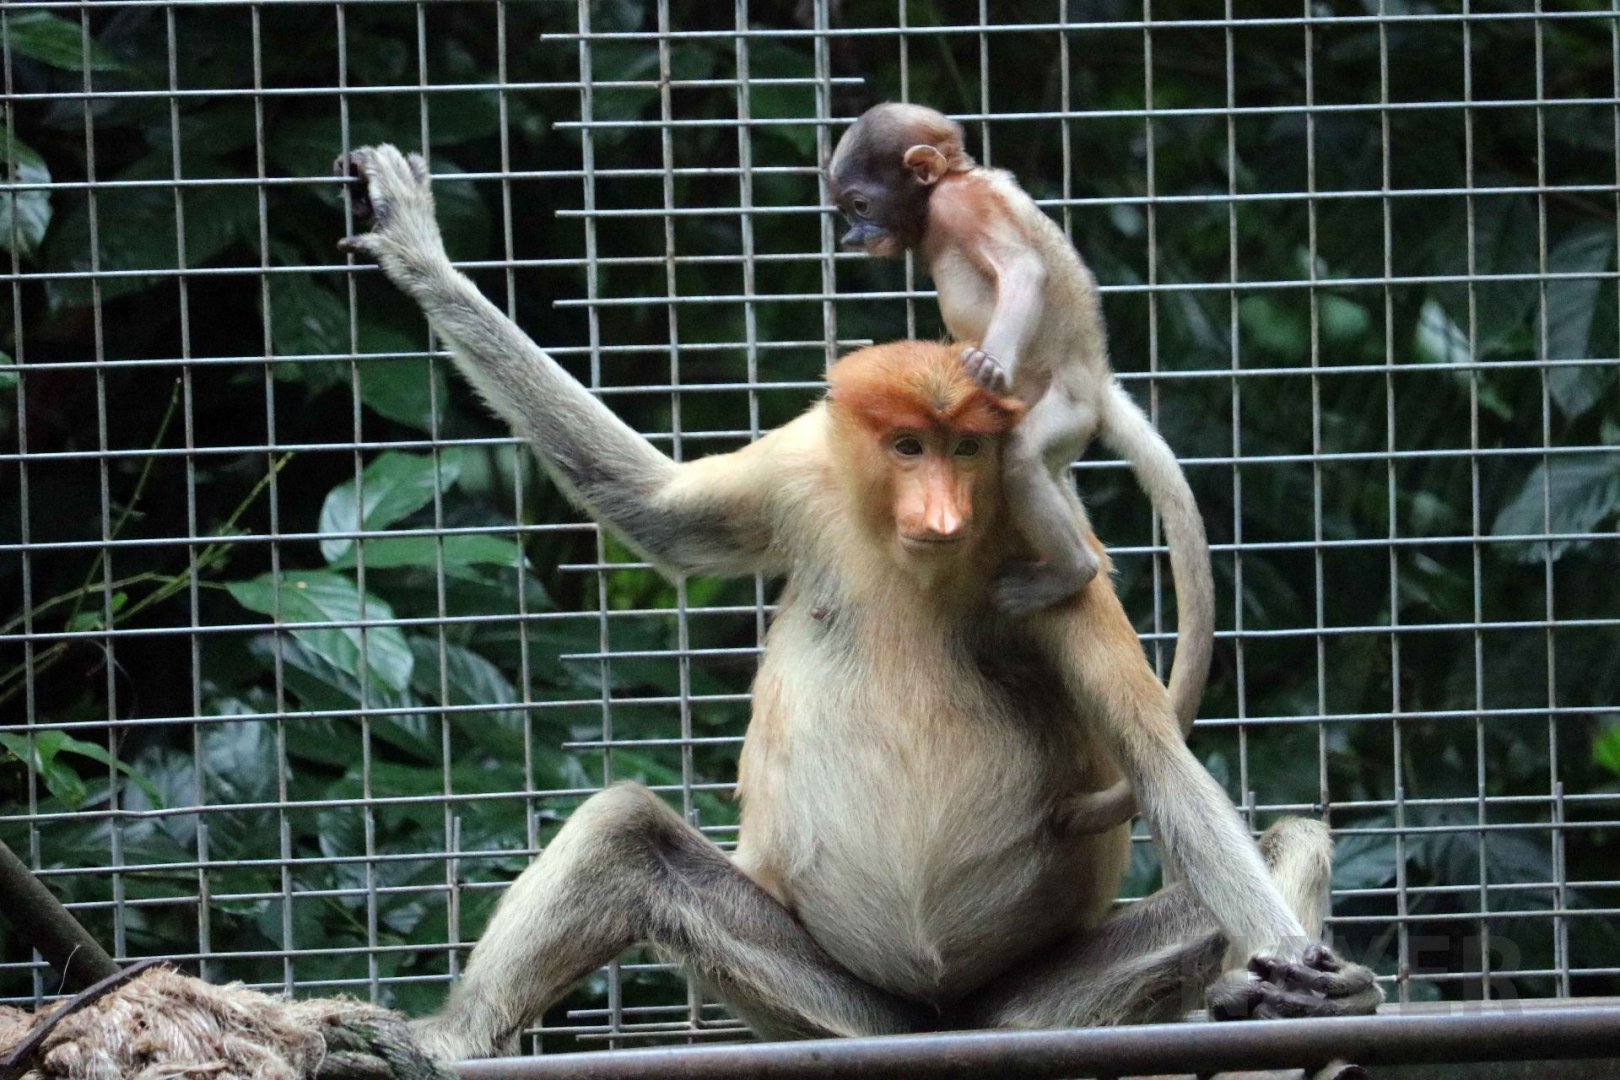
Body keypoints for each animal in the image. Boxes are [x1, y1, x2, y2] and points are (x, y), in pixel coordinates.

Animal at [828, 103, 1218, 833]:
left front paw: (988, 363)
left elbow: (1023, 271)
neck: (955, 177)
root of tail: (1098, 382)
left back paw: (1073, 570)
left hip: (1064, 408)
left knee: (1023, 458)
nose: (852, 234)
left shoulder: (963, 206)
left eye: (861, 204)